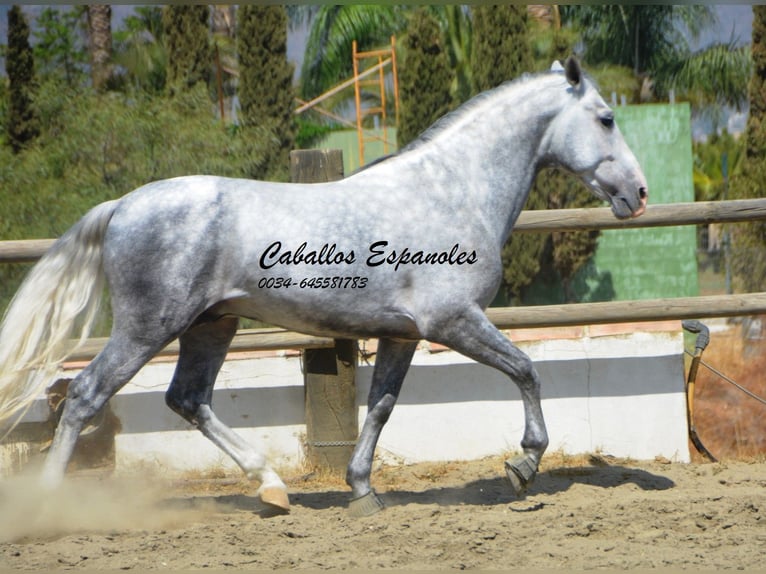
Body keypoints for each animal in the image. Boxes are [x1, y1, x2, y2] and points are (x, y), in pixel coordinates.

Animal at [0, 58, 648, 516]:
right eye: (607, 117)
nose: (638, 194)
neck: (451, 191)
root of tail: (122, 205)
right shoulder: (453, 321)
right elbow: (526, 371)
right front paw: (523, 465)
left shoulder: (402, 335)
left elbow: (382, 406)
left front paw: (363, 491)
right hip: (146, 327)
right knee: (86, 395)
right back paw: (54, 506)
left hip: (211, 324)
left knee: (187, 399)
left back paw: (271, 488)